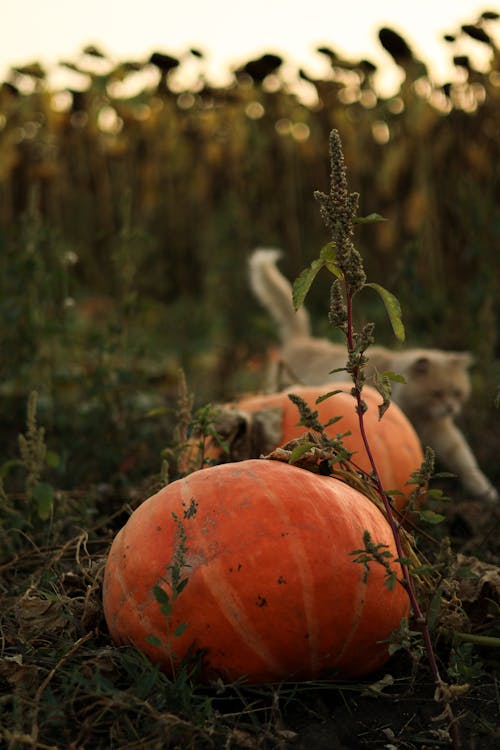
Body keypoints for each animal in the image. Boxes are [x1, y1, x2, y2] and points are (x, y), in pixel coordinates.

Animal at [248, 248, 498, 506]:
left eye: (457, 394)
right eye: (437, 394)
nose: (451, 409)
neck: (419, 414)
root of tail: (300, 341)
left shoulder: (442, 431)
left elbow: (465, 460)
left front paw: (486, 491)